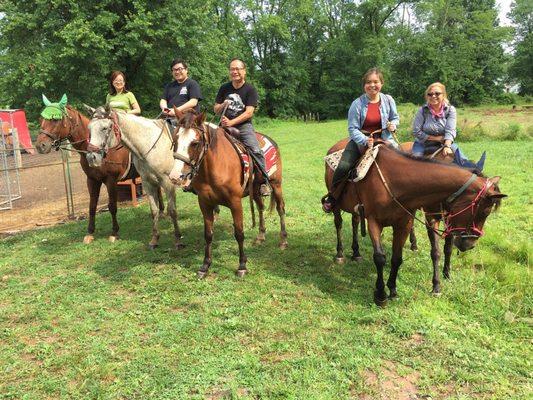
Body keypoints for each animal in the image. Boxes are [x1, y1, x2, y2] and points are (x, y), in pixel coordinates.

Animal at [35, 98, 133, 245]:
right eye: (41, 119)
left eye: (55, 120)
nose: (40, 146)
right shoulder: (92, 180)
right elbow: (92, 206)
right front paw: (90, 233)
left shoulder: (111, 180)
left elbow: (112, 206)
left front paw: (114, 233)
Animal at [171, 109, 286, 278]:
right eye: (175, 140)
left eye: (195, 143)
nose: (175, 176)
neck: (215, 166)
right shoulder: (204, 203)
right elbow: (208, 234)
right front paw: (205, 266)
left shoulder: (235, 202)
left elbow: (239, 233)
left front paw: (242, 265)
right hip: (256, 191)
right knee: (260, 208)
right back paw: (260, 237)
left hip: (276, 185)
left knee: (280, 209)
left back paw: (283, 240)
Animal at [326, 144, 504, 306]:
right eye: (484, 211)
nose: (470, 244)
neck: (395, 181)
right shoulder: (375, 221)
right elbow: (380, 257)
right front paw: (381, 295)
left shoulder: (405, 223)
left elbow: (398, 258)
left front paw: (394, 290)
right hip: (336, 205)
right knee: (339, 224)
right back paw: (340, 254)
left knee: (355, 222)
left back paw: (358, 252)